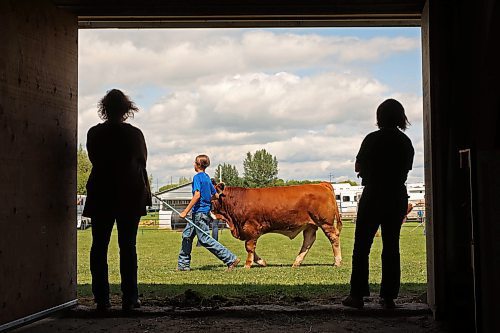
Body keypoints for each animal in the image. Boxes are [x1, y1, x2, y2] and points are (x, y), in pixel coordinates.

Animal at [209, 182, 342, 268]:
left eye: (211, 197)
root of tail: (321, 184)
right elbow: (250, 247)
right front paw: (261, 262)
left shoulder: (251, 228)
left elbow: (249, 247)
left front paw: (247, 264)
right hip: (310, 225)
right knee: (308, 241)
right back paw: (296, 263)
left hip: (325, 223)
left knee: (334, 238)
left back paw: (337, 262)